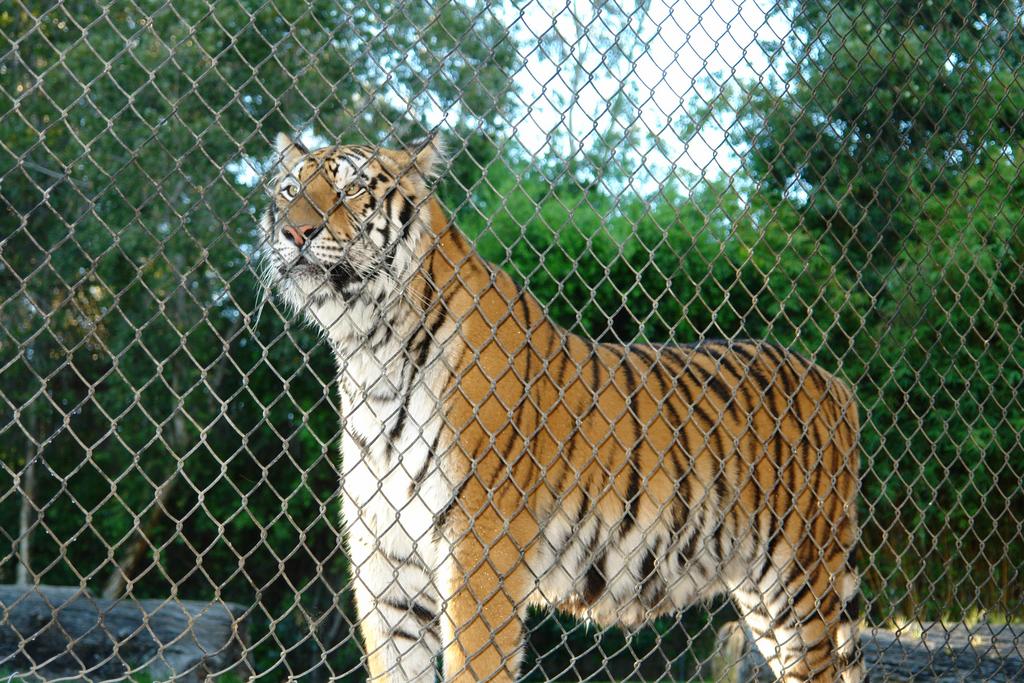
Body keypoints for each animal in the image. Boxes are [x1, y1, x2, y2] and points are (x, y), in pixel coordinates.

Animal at [258, 132, 864, 683]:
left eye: (352, 188)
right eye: (289, 190)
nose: (294, 232)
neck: (369, 351)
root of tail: (836, 383)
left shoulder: (481, 554)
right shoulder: (388, 574)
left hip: (800, 577)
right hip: (760, 594)